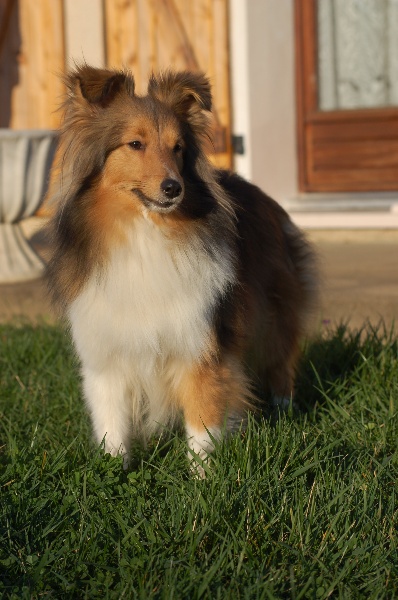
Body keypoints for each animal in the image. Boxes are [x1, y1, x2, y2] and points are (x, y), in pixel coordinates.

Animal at [45, 64, 318, 474]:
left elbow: (203, 416)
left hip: (275, 310)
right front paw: (112, 470)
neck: (144, 234)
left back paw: (284, 408)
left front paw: (203, 476)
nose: (173, 188)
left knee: (280, 359)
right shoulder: (106, 351)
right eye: (135, 144)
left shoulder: (200, 342)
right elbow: (111, 419)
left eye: (178, 148)